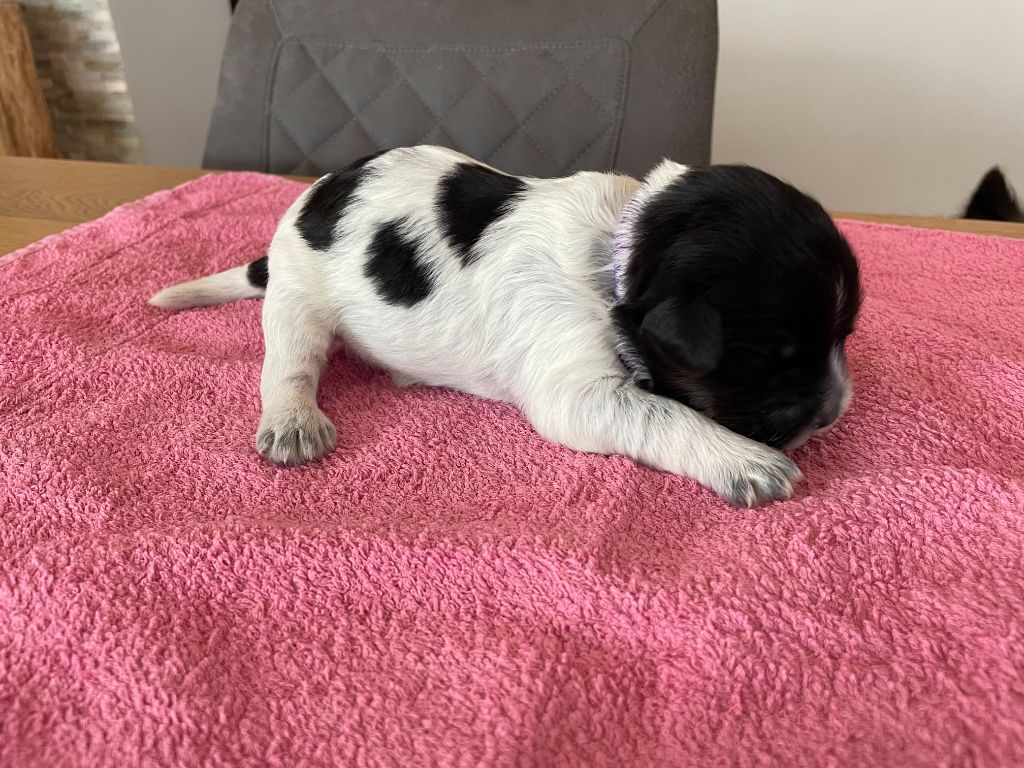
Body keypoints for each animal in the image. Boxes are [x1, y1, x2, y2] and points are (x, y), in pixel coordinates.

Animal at [151, 146, 861, 507]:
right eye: (772, 355)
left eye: (843, 335)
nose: (832, 414)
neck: (618, 251)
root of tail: (311, 195)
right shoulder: (574, 388)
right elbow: (666, 415)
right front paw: (746, 461)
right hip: (299, 297)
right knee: (288, 364)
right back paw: (294, 423)